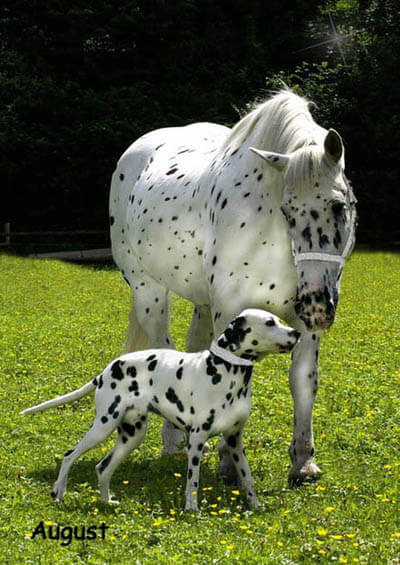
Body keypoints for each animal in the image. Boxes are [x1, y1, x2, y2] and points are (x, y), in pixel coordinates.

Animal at [21, 308, 296, 512]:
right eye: (270, 322)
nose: (296, 332)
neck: (226, 373)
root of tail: (106, 371)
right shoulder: (196, 440)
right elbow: (193, 481)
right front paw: (191, 510)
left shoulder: (235, 441)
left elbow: (247, 479)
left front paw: (256, 505)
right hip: (103, 426)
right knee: (69, 455)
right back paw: (59, 492)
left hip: (131, 436)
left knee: (102, 468)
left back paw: (107, 501)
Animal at [108, 89, 356, 484]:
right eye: (288, 210)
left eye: (339, 205)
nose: (317, 304)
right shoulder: (231, 310)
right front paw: (229, 462)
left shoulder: (305, 324)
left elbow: (303, 381)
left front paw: (303, 461)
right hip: (148, 291)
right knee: (163, 349)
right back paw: (174, 442)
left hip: (202, 302)